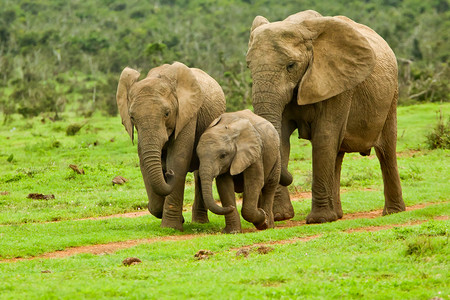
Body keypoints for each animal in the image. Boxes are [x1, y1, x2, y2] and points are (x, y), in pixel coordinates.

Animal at [117, 60, 225, 230]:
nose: (168, 174)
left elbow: (178, 159)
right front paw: (171, 216)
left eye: (167, 114)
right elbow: (144, 163)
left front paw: (171, 227)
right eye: (132, 117)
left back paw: (199, 222)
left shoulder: (187, 114)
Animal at [248, 9, 406, 223]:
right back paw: (337, 215)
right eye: (248, 66)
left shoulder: (339, 83)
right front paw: (281, 216)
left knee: (387, 150)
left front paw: (319, 220)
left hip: (391, 96)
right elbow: (282, 139)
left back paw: (393, 212)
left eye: (291, 66)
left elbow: (324, 135)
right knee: (337, 154)